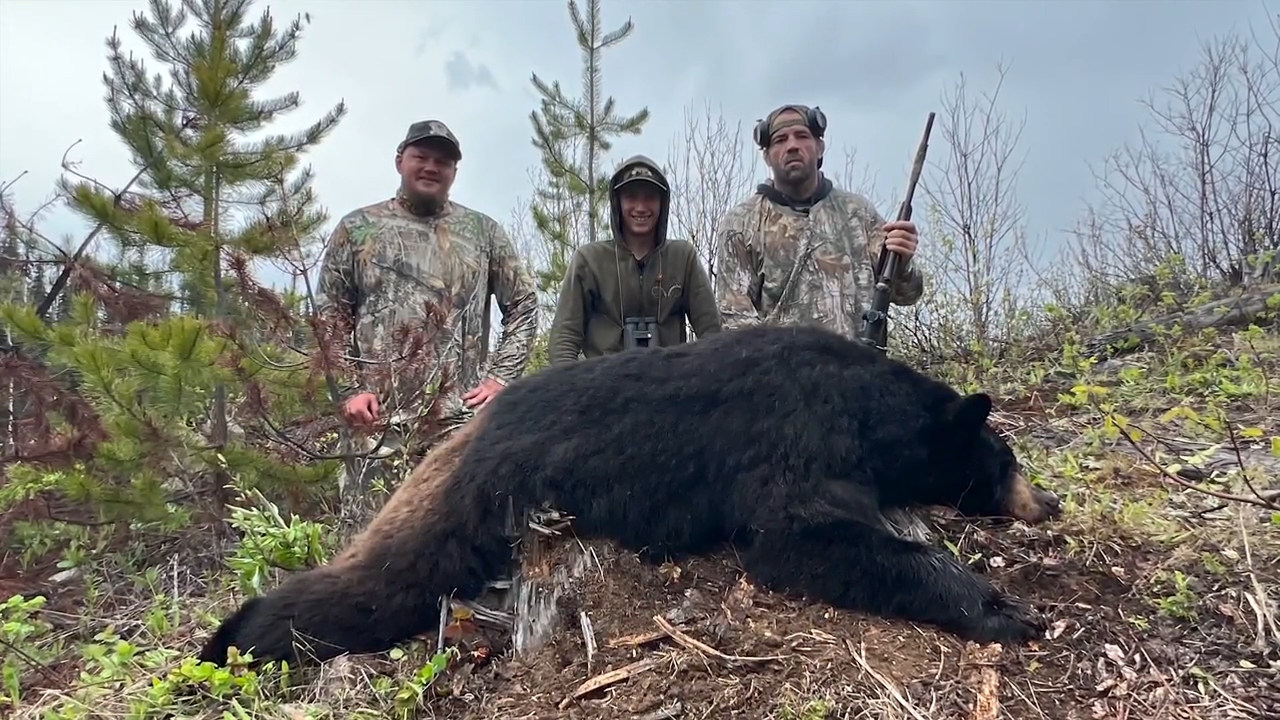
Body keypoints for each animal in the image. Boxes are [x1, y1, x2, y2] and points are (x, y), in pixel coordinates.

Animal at [197, 323, 1062, 667]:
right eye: (1007, 456)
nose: (1046, 501)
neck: (867, 407)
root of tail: (454, 438)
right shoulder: (793, 439)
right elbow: (802, 539)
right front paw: (1003, 608)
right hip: (472, 507)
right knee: (375, 586)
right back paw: (228, 642)